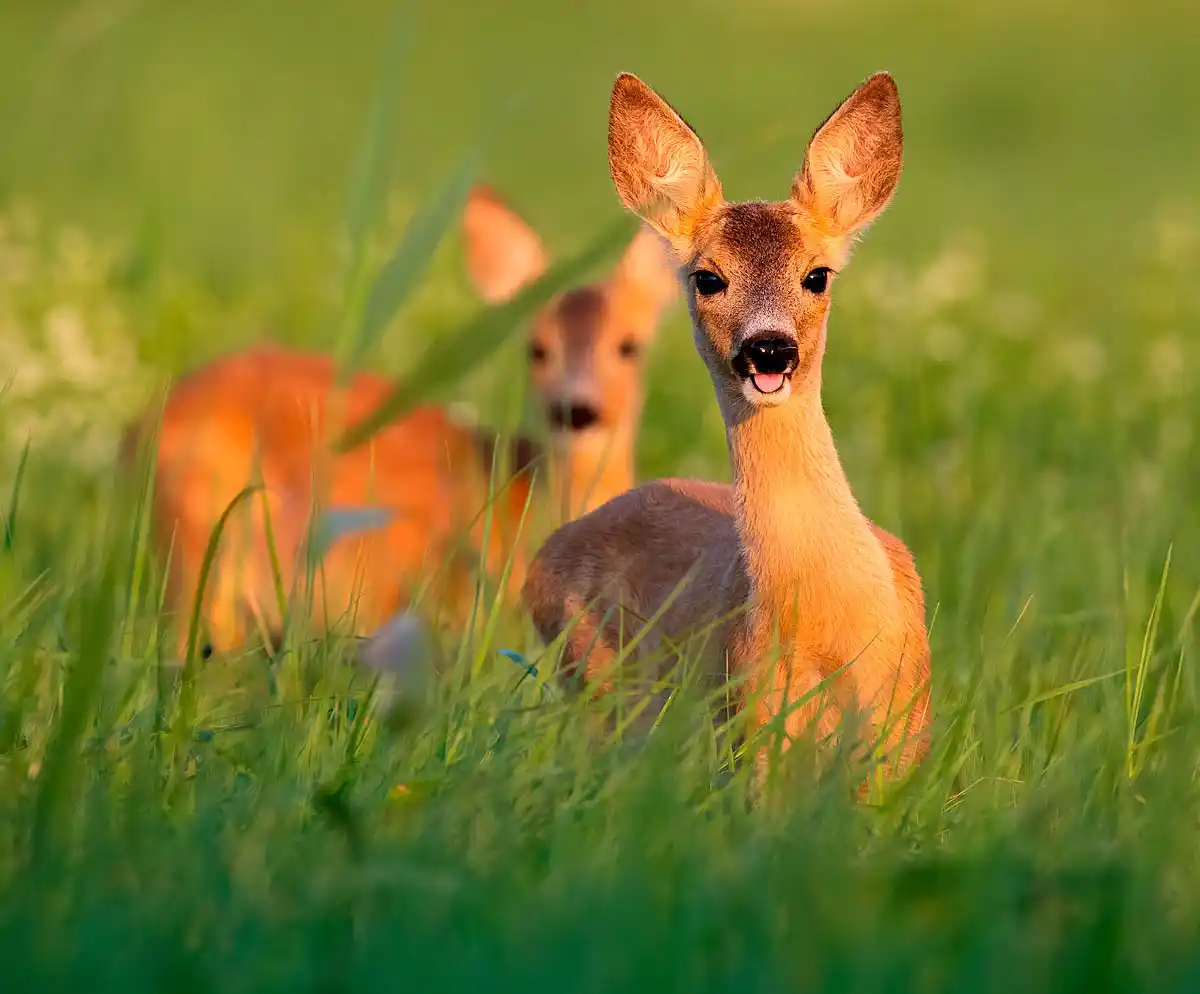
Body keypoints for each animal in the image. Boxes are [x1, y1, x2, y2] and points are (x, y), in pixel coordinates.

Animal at [523, 69, 926, 782]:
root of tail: (545, 556)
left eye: (817, 275)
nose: (769, 348)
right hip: (597, 684)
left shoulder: (903, 733)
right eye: (708, 277)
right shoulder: (752, 718)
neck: (834, 618)